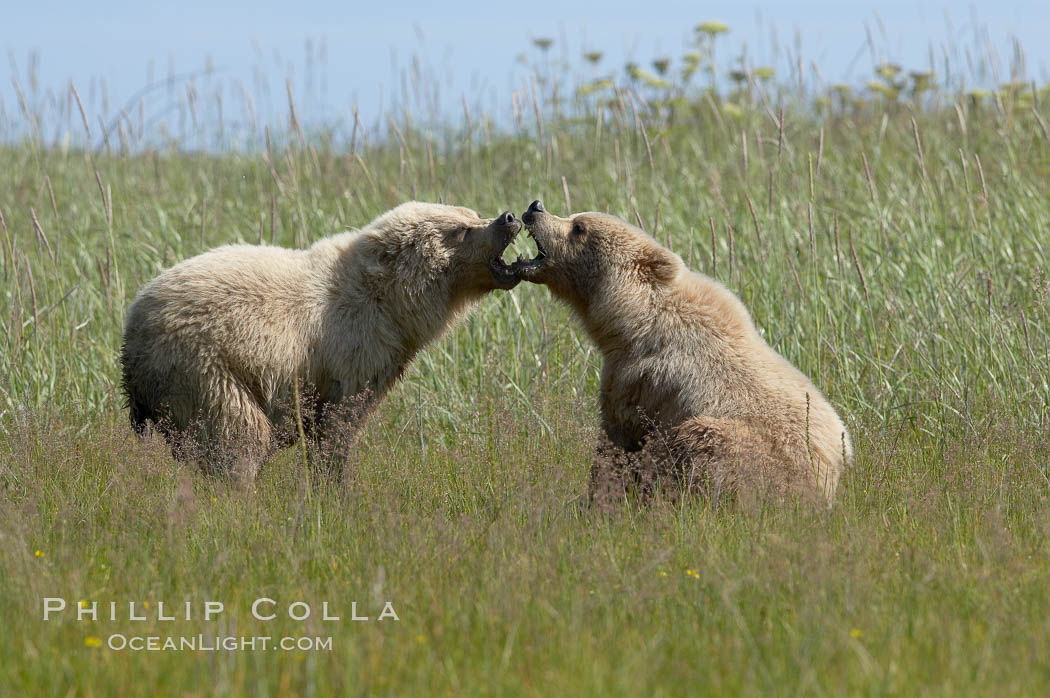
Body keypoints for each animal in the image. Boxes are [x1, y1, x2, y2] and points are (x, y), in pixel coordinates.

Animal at [122, 198, 525, 476]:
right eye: (459, 229)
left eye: (471, 212)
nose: (508, 218)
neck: (392, 306)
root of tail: (131, 331)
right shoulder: (350, 350)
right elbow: (339, 426)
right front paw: (333, 487)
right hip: (203, 369)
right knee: (237, 434)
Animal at [512, 198, 848, 503]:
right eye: (574, 216)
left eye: (579, 227)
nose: (535, 207)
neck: (629, 321)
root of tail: (823, 487)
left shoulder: (637, 377)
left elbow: (616, 441)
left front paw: (598, 499)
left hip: (740, 449)